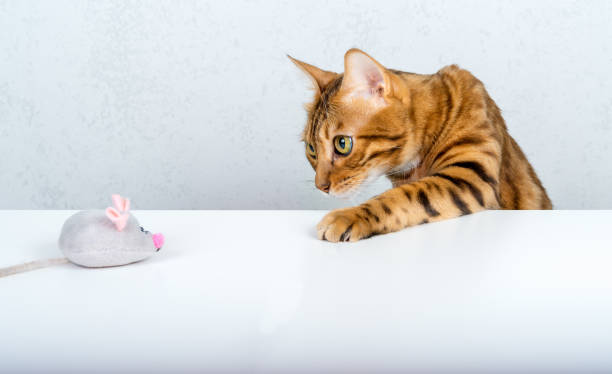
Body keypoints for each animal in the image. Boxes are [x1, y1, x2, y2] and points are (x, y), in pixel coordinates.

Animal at [290, 48, 552, 241]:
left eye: (342, 144)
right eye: (311, 150)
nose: (320, 187)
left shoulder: (472, 175)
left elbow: (402, 196)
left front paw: (349, 217)